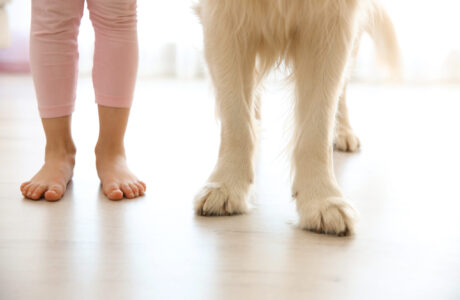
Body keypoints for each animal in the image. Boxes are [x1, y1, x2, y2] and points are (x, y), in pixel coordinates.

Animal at [194, 0, 398, 236]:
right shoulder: (223, 18)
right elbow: (236, 120)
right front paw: (225, 185)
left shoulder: (332, 23)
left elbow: (317, 128)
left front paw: (322, 199)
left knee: (342, 88)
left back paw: (344, 132)